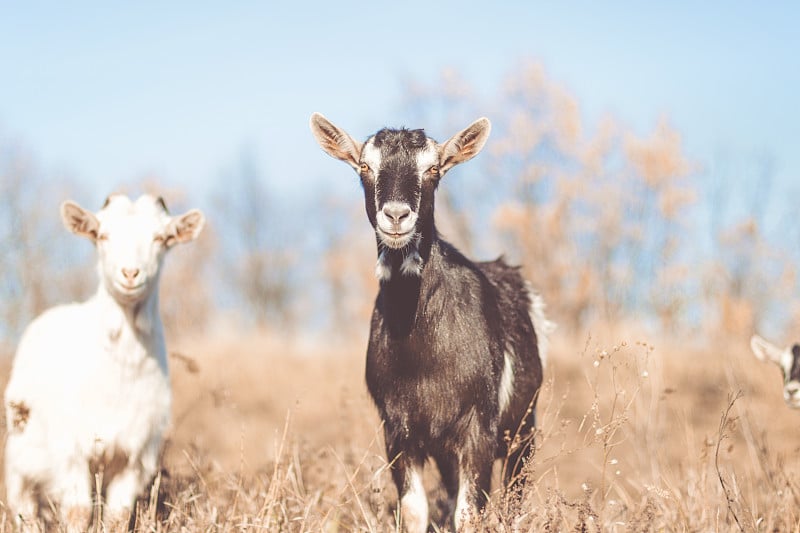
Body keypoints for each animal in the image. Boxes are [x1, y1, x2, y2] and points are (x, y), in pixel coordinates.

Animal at [4, 192, 205, 528]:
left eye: (161, 238)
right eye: (102, 235)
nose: (130, 273)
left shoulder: (136, 457)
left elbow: (118, 515)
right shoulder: (70, 451)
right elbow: (78, 511)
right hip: (21, 447)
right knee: (24, 507)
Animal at [310, 113, 552, 532]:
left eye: (434, 169)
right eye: (364, 166)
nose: (396, 215)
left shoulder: (478, 428)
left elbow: (470, 513)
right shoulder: (398, 429)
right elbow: (414, 509)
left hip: (523, 427)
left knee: (513, 495)